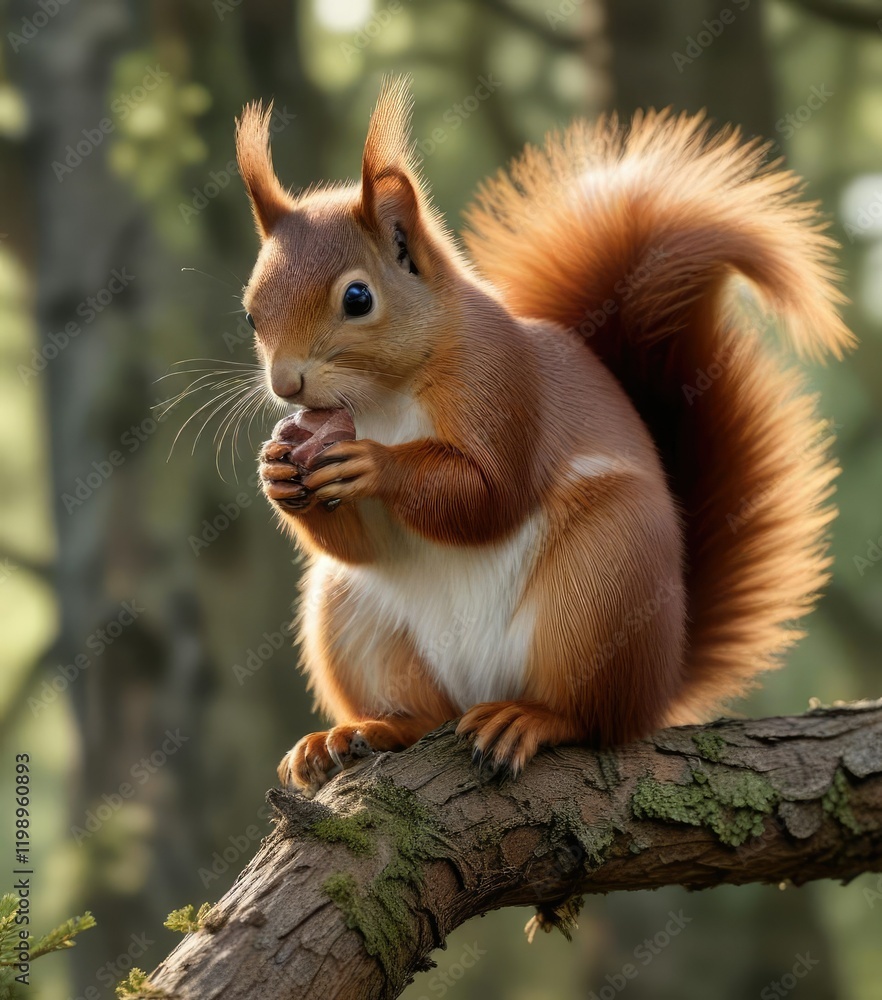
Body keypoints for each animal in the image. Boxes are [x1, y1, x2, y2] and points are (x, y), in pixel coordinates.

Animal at [234, 78, 853, 795]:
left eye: (357, 299)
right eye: (250, 312)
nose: (287, 384)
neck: (382, 399)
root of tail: (661, 681)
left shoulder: (503, 383)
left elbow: (489, 494)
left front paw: (373, 465)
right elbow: (362, 543)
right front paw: (276, 473)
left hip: (602, 585)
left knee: (592, 717)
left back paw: (529, 719)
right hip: (354, 617)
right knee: (424, 710)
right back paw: (364, 730)